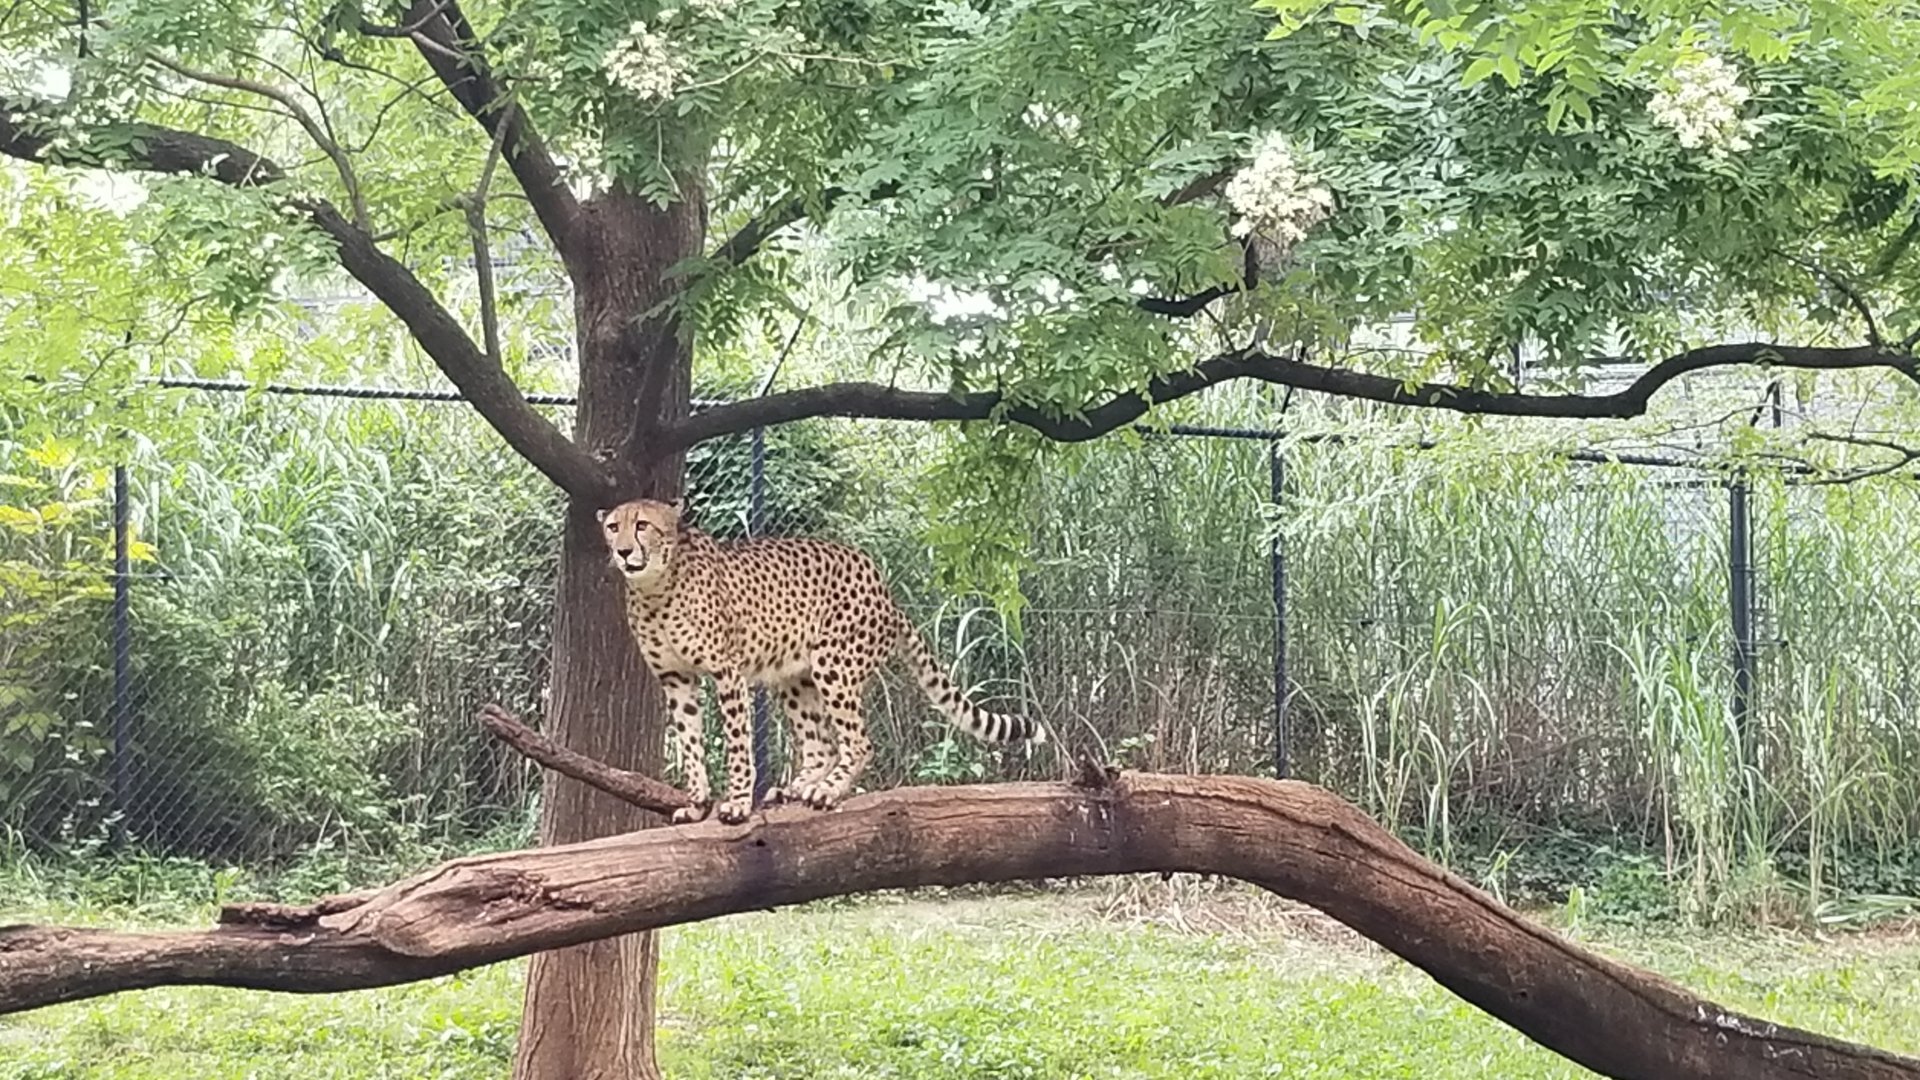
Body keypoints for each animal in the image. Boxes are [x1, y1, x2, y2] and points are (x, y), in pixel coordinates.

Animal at [597, 497, 1046, 825]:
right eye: (613, 526)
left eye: (642, 525)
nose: (622, 551)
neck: (656, 587)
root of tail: (885, 590)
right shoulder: (676, 678)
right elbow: (689, 743)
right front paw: (697, 802)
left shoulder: (727, 672)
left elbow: (738, 744)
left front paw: (737, 802)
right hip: (794, 677)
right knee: (821, 743)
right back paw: (798, 786)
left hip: (834, 664)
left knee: (858, 742)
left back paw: (827, 790)